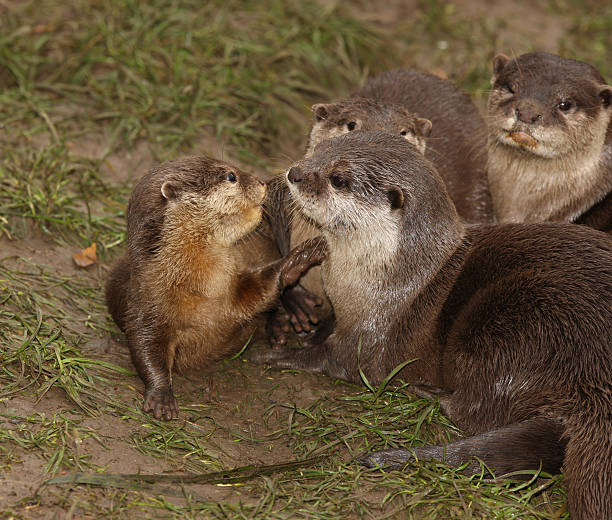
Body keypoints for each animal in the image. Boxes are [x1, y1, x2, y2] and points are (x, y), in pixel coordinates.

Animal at [106, 156, 328, 420]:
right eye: (231, 176)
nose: (262, 182)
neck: (201, 288)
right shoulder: (145, 303)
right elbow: (145, 348)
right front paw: (161, 396)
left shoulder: (231, 290)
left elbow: (259, 290)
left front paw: (298, 260)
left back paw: (286, 317)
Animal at [251, 131, 612, 520]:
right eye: (319, 149)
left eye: (338, 179)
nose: (295, 173)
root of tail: (594, 380)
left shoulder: (370, 333)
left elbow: (335, 360)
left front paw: (274, 355)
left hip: (513, 331)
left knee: (477, 411)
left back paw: (428, 392)